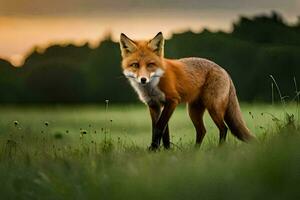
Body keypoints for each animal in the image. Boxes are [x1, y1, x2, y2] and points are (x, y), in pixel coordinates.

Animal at [118, 31, 254, 150]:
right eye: (135, 65)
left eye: (150, 64)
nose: (143, 79)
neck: (153, 86)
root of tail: (224, 70)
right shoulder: (154, 105)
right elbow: (162, 131)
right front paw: (165, 150)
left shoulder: (172, 101)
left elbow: (159, 128)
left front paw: (153, 150)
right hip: (193, 111)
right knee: (202, 130)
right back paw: (195, 151)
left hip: (213, 107)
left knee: (224, 128)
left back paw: (219, 149)